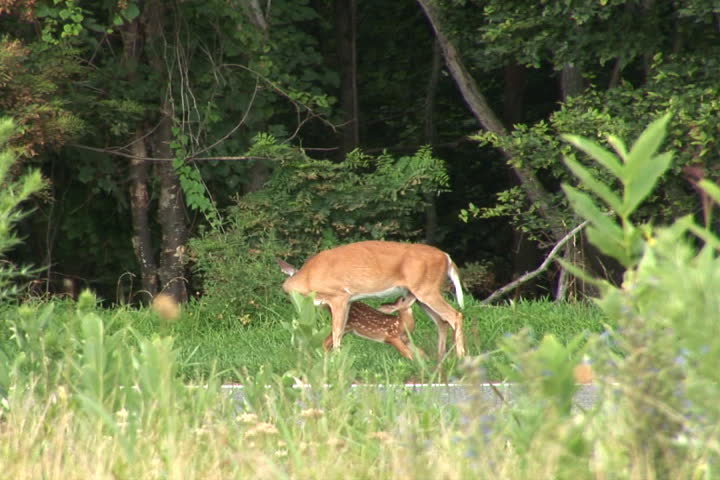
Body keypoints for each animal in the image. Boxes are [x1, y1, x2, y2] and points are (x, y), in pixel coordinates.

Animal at [278, 240, 465, 359]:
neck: (307, 278)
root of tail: (447, 257)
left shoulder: (339, 296)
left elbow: (337, 332)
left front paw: (336, 361)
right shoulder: (347, 301)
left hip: (427, 289)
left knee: (455, 315)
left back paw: (461, 357)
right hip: (420, 294)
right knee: (442, 321)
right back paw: (440, 358)